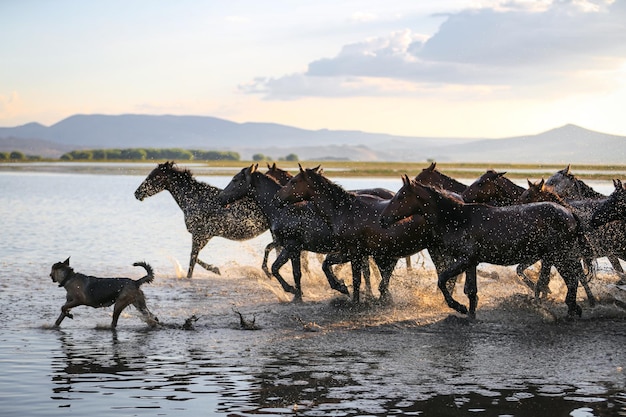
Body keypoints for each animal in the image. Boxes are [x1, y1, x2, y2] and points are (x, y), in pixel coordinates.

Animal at [135, 161, 268, 278]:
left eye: (154, 176)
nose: (137, 193)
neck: (195, 199)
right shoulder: (205, 235)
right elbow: (195, 256)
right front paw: (216, 269)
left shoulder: (200, 234)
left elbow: (192, 259)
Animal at [276, 165, 432, 302]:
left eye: (293, 181)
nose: (277, 198)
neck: (344, 210)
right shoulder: (349, 252)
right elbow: (327, 265)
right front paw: (341, 287)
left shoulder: (355, 252)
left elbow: (356, 279)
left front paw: (354, 300)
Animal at [378, 176, 588, 318]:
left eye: (400, 196)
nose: (382, 220)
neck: (458, 219)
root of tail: (569, 213)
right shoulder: (471, 262)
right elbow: (471, 291)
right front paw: (470, 312)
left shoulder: (465, 260)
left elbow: (443, 280)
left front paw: (459, 307)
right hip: (558, 257)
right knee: (572, 281)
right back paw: (574, 308)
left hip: (560, 256)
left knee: (572, 280)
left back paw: (573, 309)